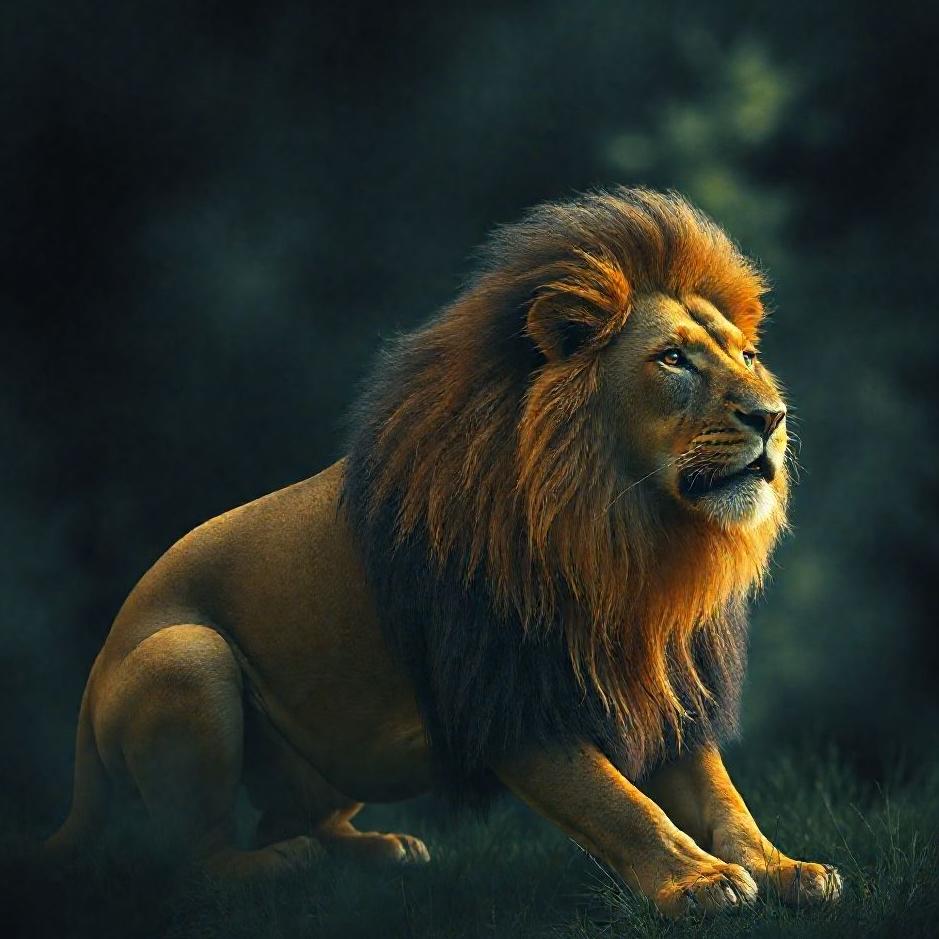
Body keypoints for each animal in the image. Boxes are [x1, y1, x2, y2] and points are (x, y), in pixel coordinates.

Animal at [47, 188, 841, 917]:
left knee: (285, 816)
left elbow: (723, 799)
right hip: (186, 653)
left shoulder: (669, 681)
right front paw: (696, 882)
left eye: (746, 356)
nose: (772, 417)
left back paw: (379, 851)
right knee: (193, 860)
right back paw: (272, 866)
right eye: (673, 359)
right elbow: (617, 802)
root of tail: (94, 670)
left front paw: (785, 866)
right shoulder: (507, 693)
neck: (624, 536)